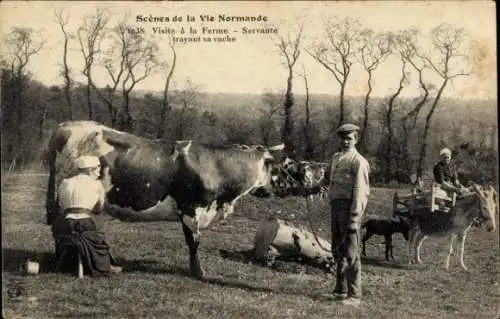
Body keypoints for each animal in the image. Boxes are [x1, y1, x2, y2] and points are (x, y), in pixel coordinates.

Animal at [47, 121, 286, 278]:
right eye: (273, 167)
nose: (273, 190)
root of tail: (67, 126)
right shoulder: (191, 210)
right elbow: (194, 242)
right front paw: (199, 272)